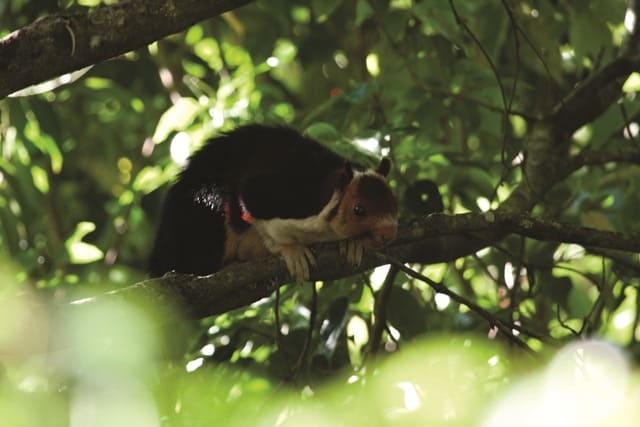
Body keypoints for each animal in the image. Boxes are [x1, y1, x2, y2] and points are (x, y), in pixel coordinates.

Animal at [149, 124, 398, 284]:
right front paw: (291, 251)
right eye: (359, 210)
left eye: (395, 203)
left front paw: (353, 244)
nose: (389, 233)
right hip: (203, 217)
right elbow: (255, 209)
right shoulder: (284, 196)